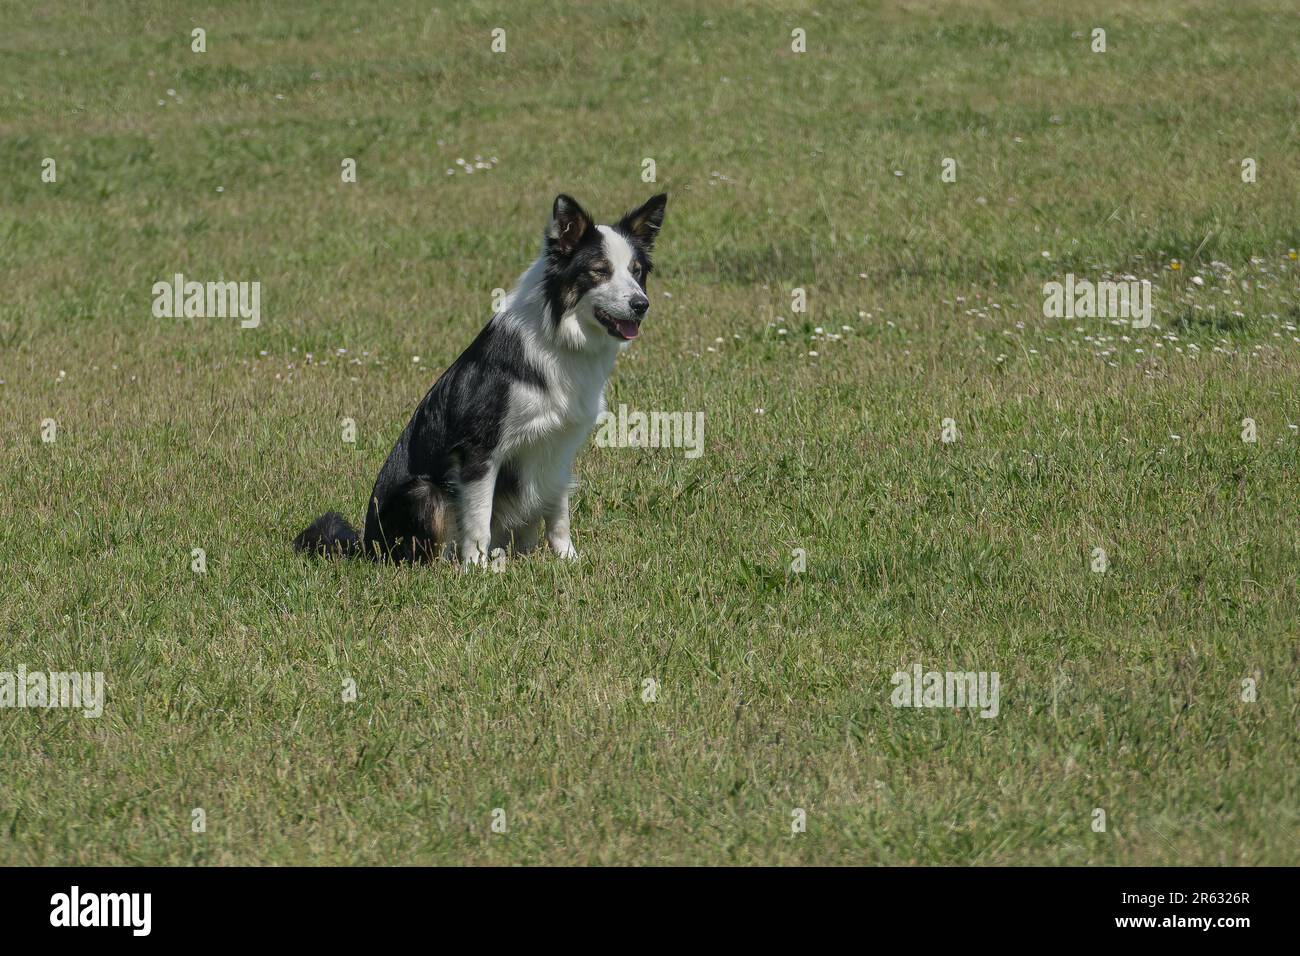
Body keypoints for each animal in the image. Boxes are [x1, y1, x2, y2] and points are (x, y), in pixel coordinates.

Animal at [289, 195, 665, 567]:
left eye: (636, 271)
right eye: (599, 271)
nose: (641, 304)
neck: (560, 337)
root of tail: (365, 545)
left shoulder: (558, 447)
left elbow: (558, 512)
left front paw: (568, 559)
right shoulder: (479, 450)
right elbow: (479, 517)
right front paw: (477, 568)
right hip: (422, 493)